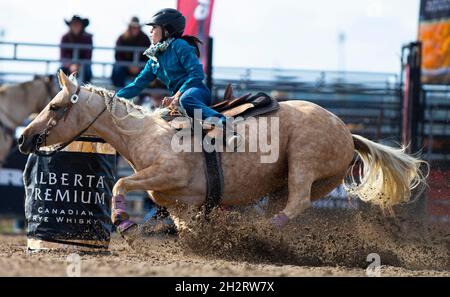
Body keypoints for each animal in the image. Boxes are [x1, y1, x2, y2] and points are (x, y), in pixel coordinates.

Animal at [18, 69, 426, 234]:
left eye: (55, 106)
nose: (24, 139)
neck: (147, 135)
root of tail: (348, 131)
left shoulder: (168, 173)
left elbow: (121, 184)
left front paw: (125, 222)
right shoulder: (181, 204)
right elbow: (184, 227)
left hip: (304, 163)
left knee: (297, 204)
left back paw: (259, 231)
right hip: (303, 182)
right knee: (289, 205)